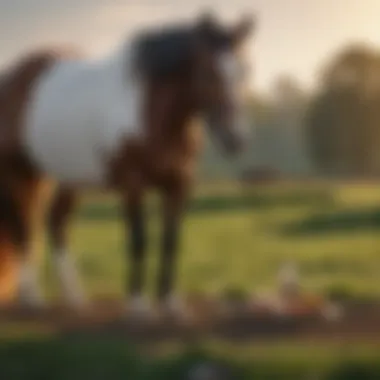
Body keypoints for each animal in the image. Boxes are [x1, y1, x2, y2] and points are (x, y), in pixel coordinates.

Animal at [0, 11, 256, 320]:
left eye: (245, 70)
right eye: (208, 72)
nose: (237, 139)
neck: (148, 110)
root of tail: (12, 79)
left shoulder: (178, 185)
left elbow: (171, 241)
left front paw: (170, 303)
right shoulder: (132, 185)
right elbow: (139, 239)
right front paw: (138, 305)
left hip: (66, 177)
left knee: (55, 224)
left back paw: (75, 299)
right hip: (19, 172)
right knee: (23, 227)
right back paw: (32, 298)